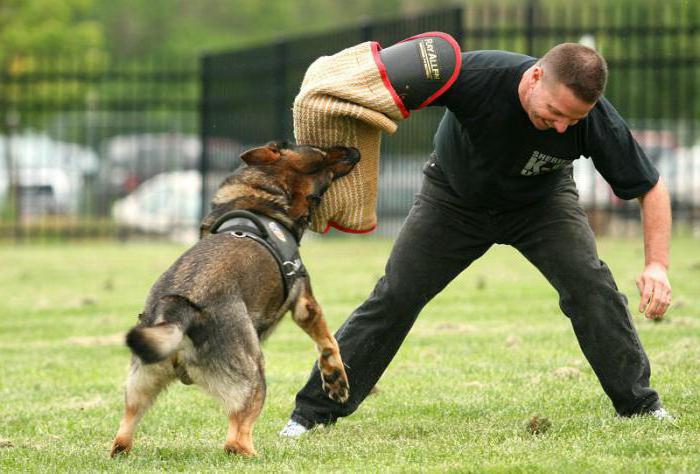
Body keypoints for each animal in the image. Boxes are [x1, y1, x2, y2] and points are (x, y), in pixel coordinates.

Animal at [113, 143, 360, 458]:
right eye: (320, 152)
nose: (354, 149)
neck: (260, 196)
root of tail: (179, 310)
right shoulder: (305, 305)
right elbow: (329, 343)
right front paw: (336, 381)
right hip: (254, 376)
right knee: (235, 441)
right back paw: (259, 456)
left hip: (139, 386)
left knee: (121, 437)